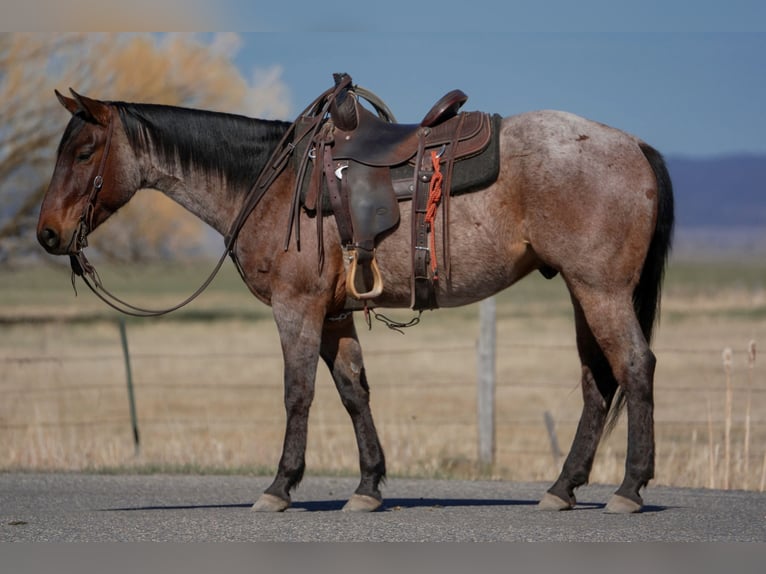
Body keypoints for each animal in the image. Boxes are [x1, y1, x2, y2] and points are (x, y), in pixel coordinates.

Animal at [37, 81, 673, 514]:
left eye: (85, 153)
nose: (47, 233)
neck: (269, 183)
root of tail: (636, 145)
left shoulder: (297, 308)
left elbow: (298, 394)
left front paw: (280, 486)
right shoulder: (333, 317)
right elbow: (353, 392)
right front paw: (368, 486)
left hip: (600, 289)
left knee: (635, 366)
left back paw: (630, 487)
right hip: (581, 290)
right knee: (598, 382)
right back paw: (563, 488)